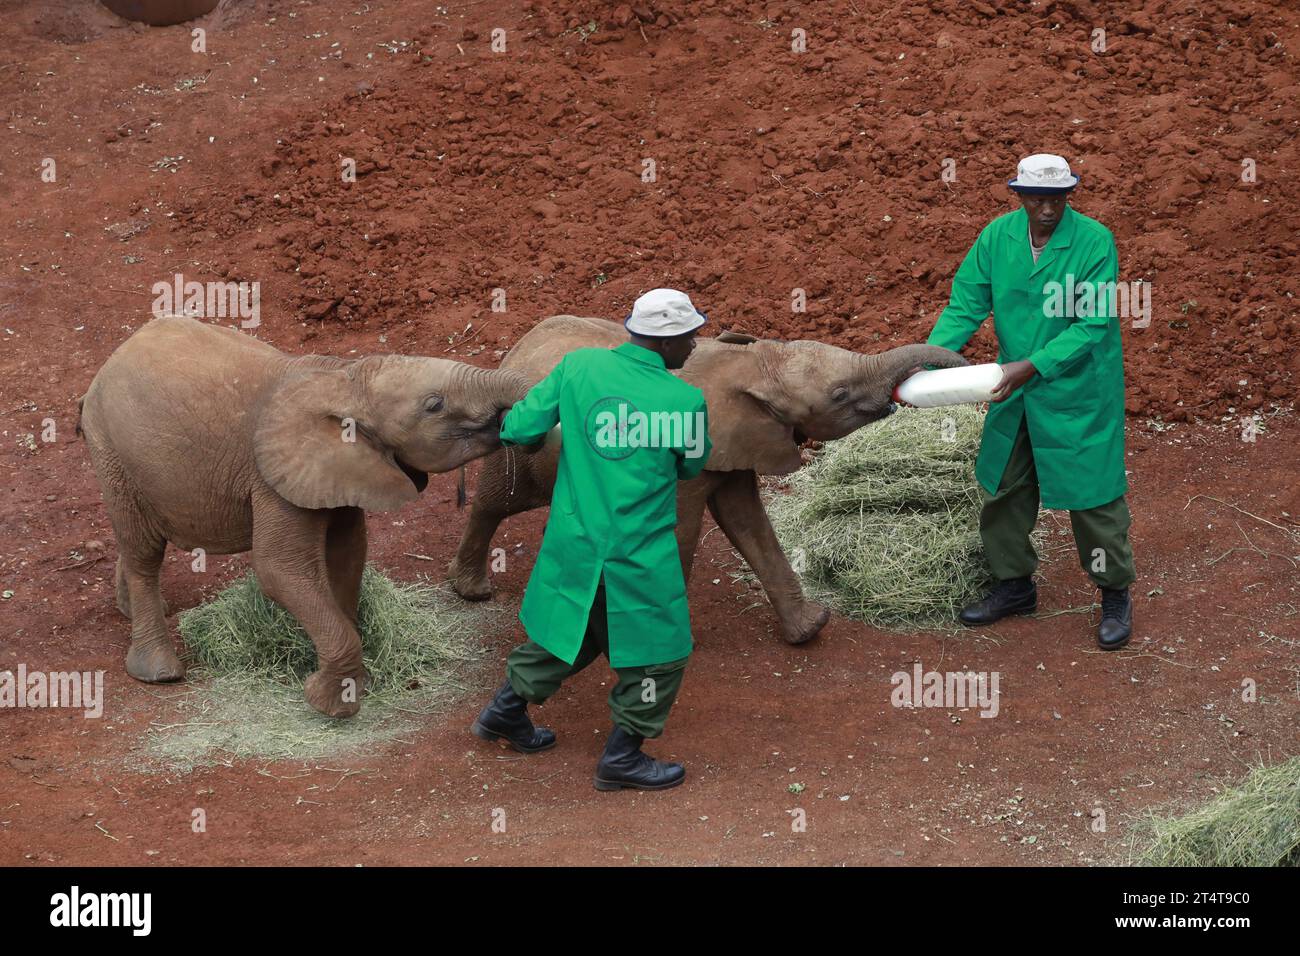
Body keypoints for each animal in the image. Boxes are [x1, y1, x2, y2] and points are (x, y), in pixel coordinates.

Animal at [79, 319, 527, 717]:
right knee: (144, 551)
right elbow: (280, 568)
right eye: (435, 404)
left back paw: (135, 611)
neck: (343, 378)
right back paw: (159, 672)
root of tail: (107, 364)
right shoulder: (273, 478)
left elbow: (347, 555)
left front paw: (351, 678)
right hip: (110, 449)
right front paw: (331, 703)